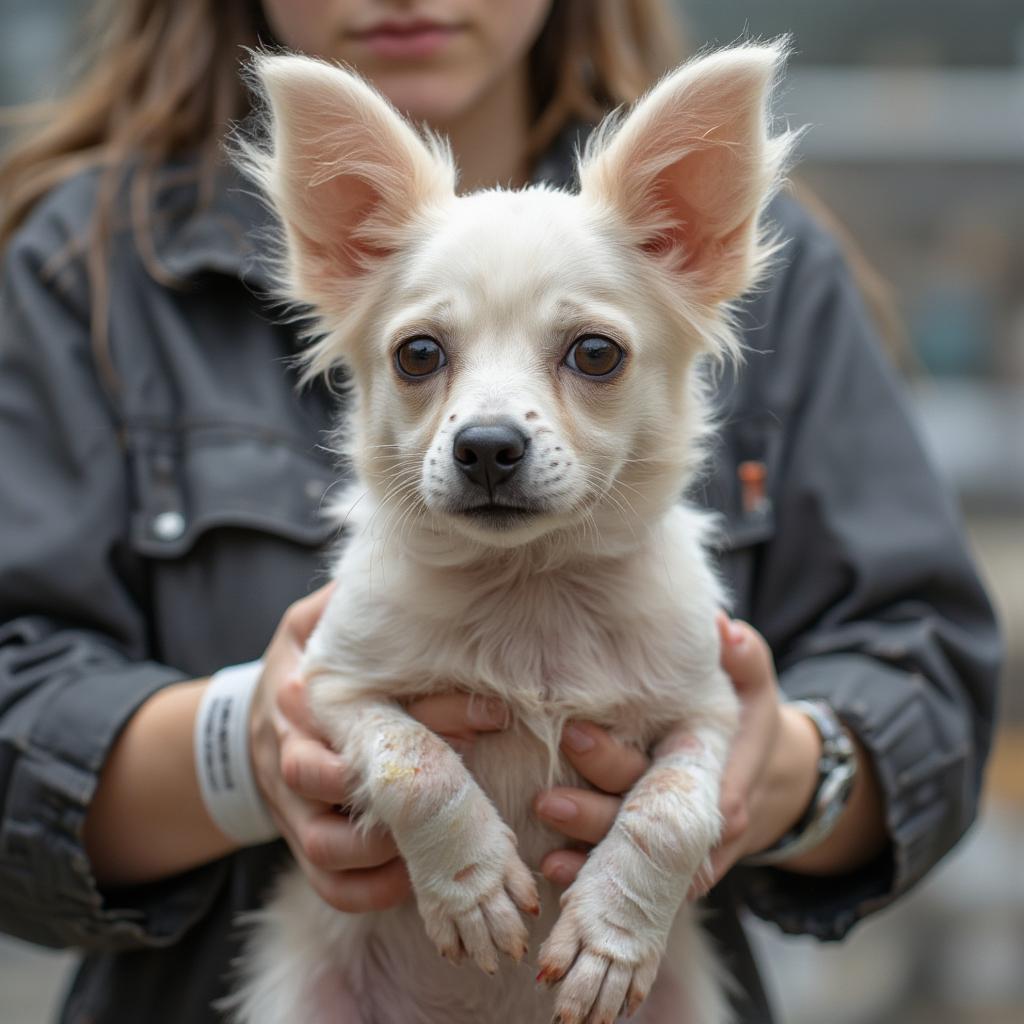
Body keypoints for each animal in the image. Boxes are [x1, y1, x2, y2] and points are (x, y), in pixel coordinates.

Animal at [230, 39, 790, 1024]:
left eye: (596, 354)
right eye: (418, 355)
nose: (487, 446)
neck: (532, 585)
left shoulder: (712, 715)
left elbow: (673, 811)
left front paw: (610, 938)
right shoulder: (328, 690)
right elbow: (413, 765)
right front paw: (476, 886)